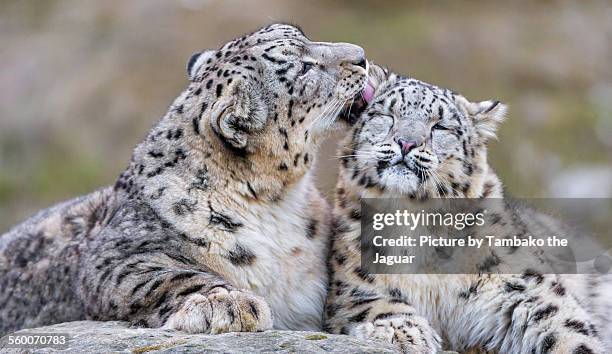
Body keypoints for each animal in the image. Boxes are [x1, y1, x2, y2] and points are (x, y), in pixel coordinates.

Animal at [0, 24, 368, 334]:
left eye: (304, 36)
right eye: (303, 68)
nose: (361, 55)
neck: (279, 205)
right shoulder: (117, 258)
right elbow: (168, 277)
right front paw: (227, 304)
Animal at [322, 65, 608, 352]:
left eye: (440, 126)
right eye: (386, 114)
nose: (406, 142)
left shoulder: (525, 288)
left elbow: (567, 326)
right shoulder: (354, 286)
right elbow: (377, 305)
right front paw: (404, 332)